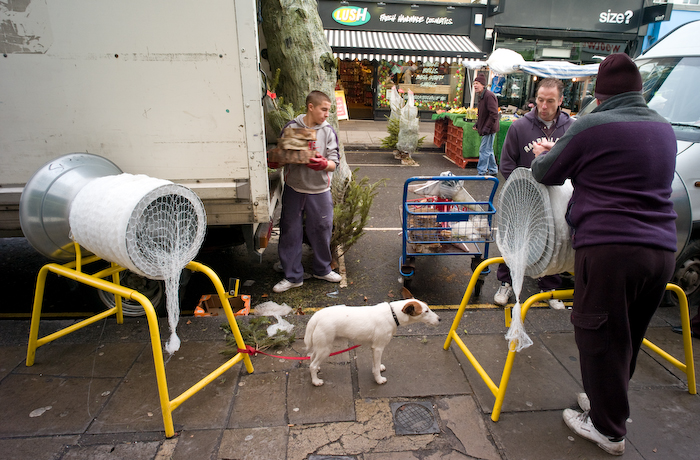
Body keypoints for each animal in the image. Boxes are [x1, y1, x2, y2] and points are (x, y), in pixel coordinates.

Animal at [304, 292, 440, 384]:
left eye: (429, 308)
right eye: (426, 311)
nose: (440, 319)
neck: (393, 314)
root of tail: (317, 315)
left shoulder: (374, 348)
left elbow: (376, 364)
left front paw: (379, 368)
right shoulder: (378, 347)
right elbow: (376, 367)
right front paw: (379, 379)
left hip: (320, 346)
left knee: (311, 357)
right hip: (325, 349)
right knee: (312, 365)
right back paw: (315, 381)